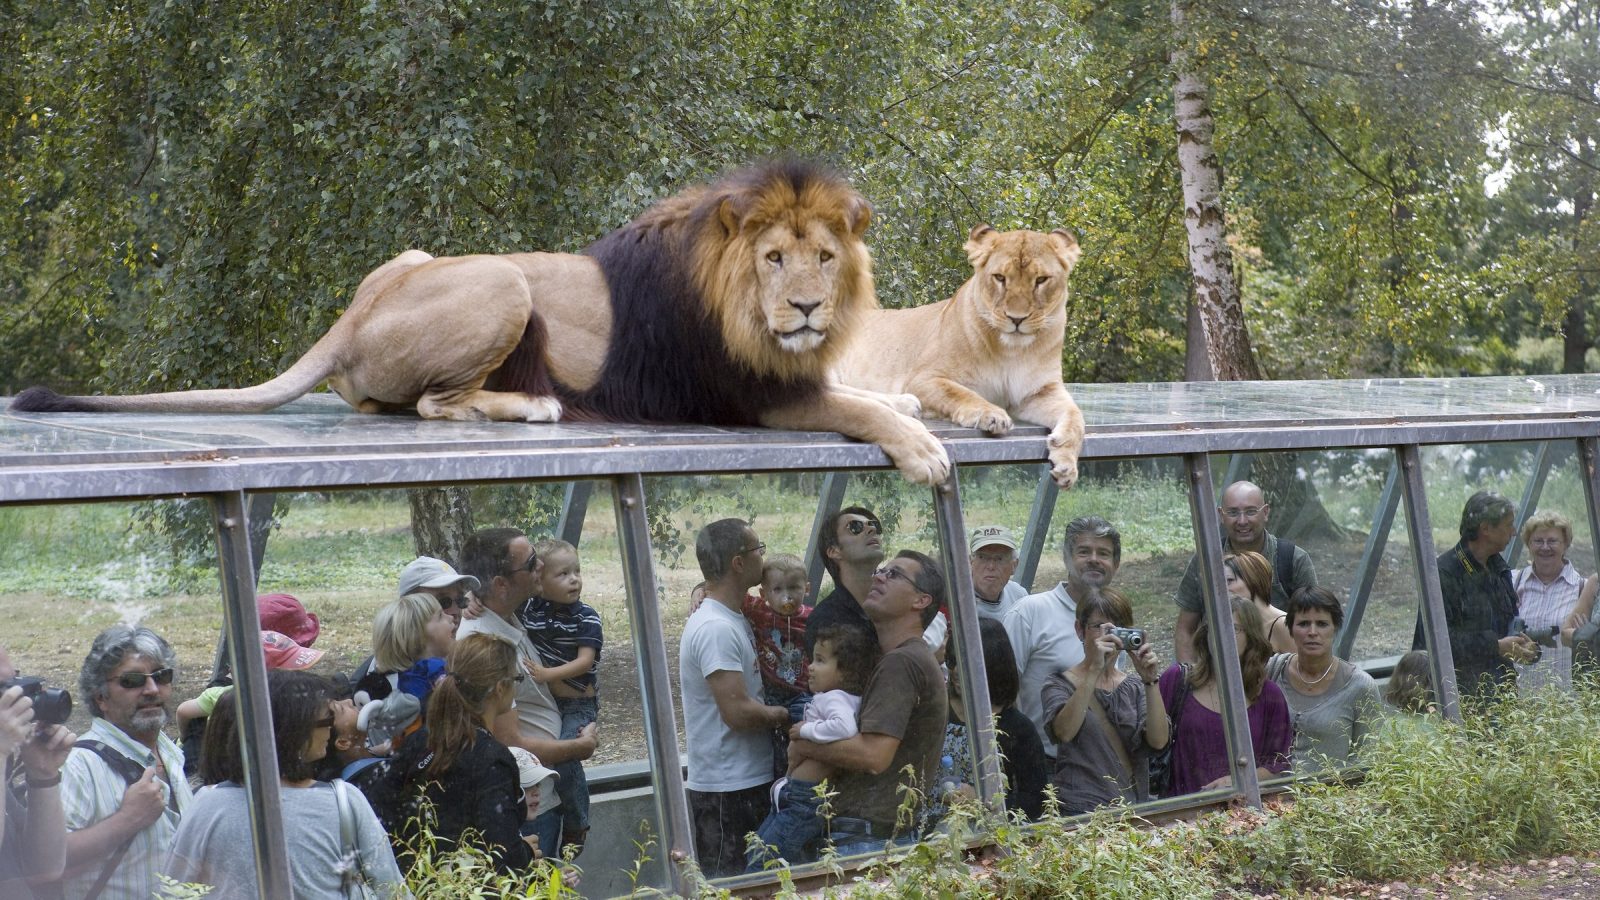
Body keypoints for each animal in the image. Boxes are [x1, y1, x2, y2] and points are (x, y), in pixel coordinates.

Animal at [10, 162, 951, 485]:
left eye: (824, 256)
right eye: (775, 260)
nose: (807, 308)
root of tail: (350, 318)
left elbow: (866, 391)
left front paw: (913, 407)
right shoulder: (744, 396)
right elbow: (849, 405)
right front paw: (922, 450)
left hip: (422, 258)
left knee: (379, 405)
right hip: (502, 277)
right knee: (433, 405)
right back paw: (531, 405)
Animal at [834, 225, 1085, 488]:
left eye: (1041, 280)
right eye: (1000, 278)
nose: (1016, 319)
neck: (1012, 351)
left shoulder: (1039, 392)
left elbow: (1075, 416)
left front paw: (1066, 464)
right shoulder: (924, 379)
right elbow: (961, 393)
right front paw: (991, 414)